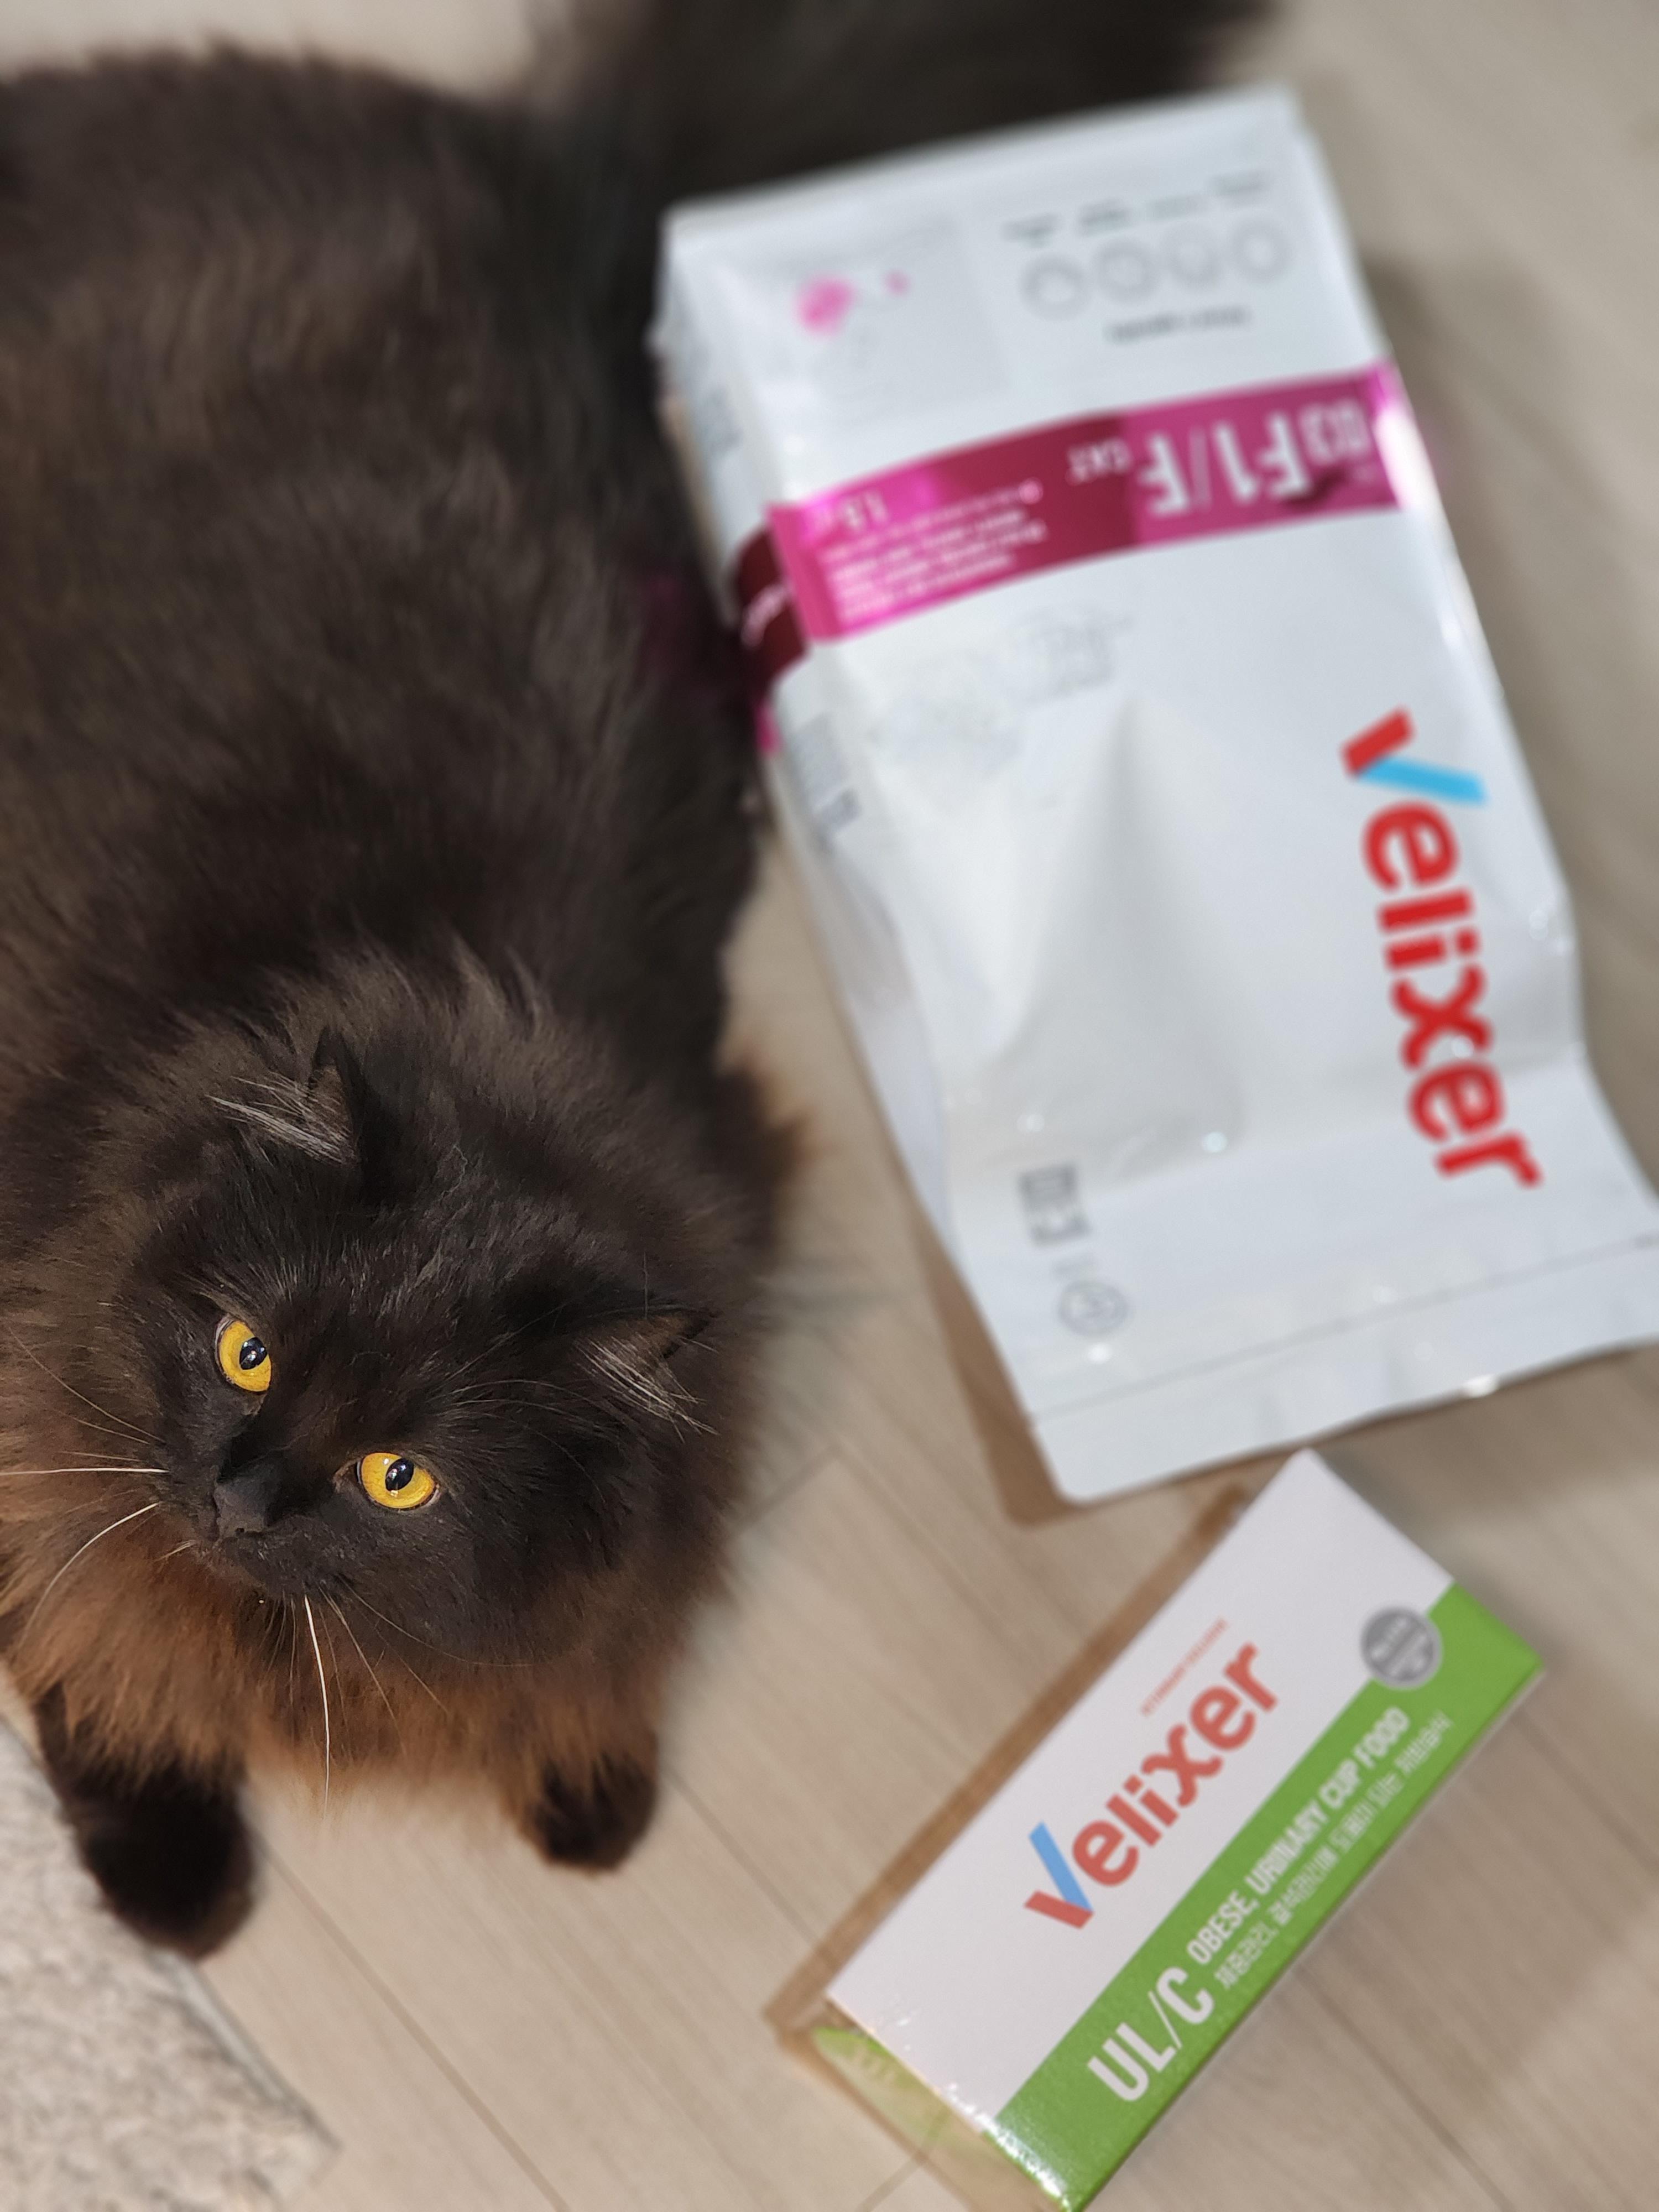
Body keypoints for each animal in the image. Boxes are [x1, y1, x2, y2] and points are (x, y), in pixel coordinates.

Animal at [0, 0, 1262, 1956]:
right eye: (243, 1347)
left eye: (402, 1473)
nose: (241, 1488)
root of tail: (552, 176)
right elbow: (86, 1636)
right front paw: (172, 1883)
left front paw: (592, 1794)